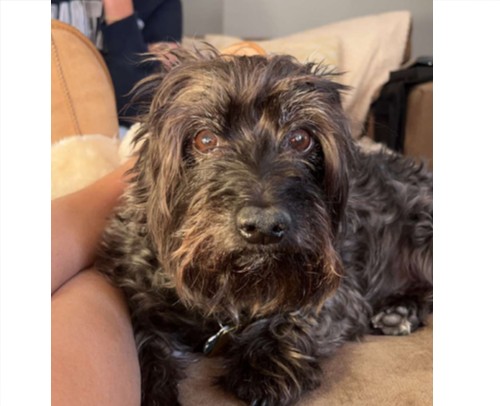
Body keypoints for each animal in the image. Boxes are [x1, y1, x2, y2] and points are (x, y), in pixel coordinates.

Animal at [96, 46, 433, 406]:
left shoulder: (340, 286)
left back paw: (400, 310)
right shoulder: (136, 290)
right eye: (205, 139)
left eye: (300, 138)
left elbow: (300, 313)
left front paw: (266, 359)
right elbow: (142, 340)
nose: (264, 226)